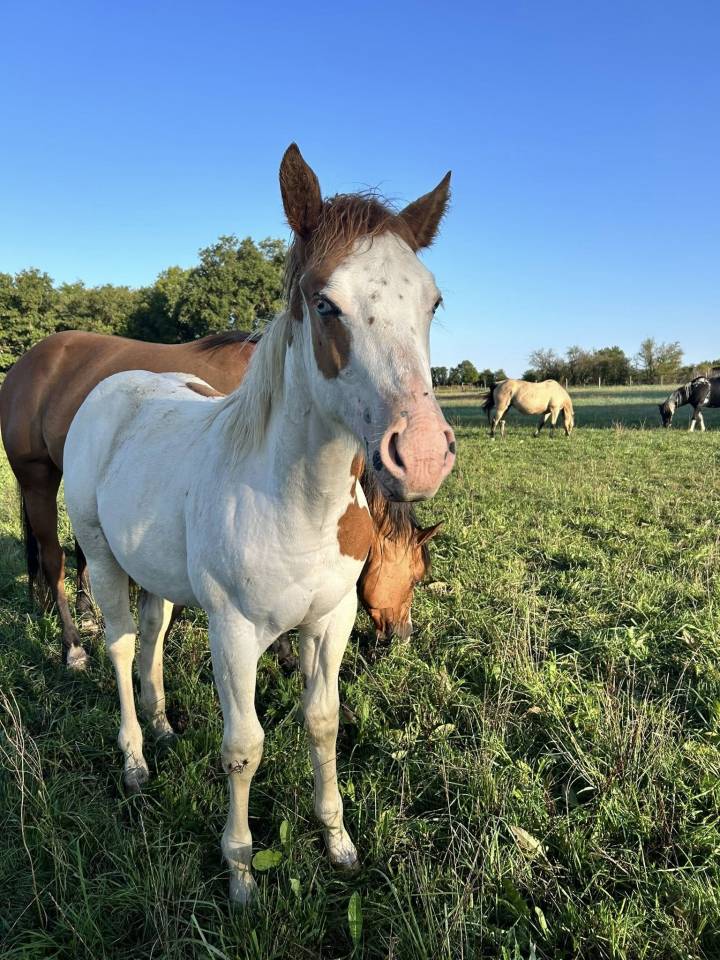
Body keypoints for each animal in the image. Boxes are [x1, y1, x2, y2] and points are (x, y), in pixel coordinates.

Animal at [0, 329, 441, 668]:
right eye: (416, 576)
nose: (403, 635)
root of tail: (26, 363)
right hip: (37, 478)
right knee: (53, 557)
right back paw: (73, 647)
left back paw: (88, 613)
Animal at [61, 143, 456, 903]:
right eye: (325, 303)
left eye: (432, 301)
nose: (421, 454)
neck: (296, 503)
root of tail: (111, 389)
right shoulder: (235, 632)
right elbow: (244, 747)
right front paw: (240, 870)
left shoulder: (330, 622)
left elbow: (323, 724)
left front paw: (337, 840)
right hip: (101, 559)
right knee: (120, 647)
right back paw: (134, 760)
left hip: (156, 574)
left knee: (152, 636)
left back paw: (161, 726)